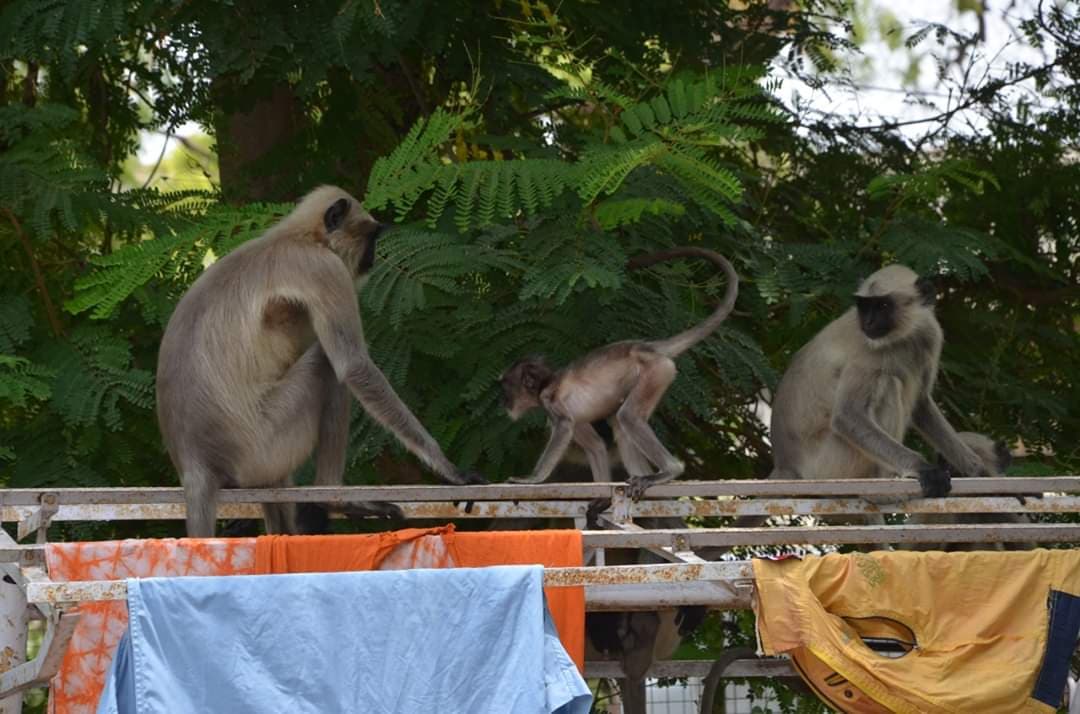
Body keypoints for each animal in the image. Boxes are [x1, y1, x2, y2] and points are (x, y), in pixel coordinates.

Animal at [157, 185, 483, 538]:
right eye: (371, 237)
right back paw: (335, 498)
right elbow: (352, 366)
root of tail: (195, 463)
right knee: (328, 367)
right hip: (262, 446)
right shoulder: (324, 268)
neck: (297, 237)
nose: (372, 257)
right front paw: (450, 470)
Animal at [499, 247, 739, 500]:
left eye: (505, 388)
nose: (503, 401)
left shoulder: (551, 401)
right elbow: (596, 446)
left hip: (655, 372)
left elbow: (564, 427)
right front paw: (599, 498)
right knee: (620, 426)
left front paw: (532, 479)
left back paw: (669, 471)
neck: (546, 382)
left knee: (628, 416)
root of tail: (646, 348)